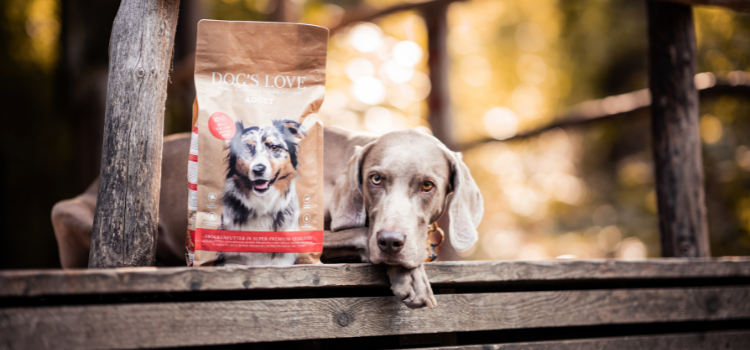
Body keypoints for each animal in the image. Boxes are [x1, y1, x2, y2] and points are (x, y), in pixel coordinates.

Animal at [54, 126, 488, 308]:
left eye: (428, 185)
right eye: (375, 179)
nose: (392, 242)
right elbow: (358, 232)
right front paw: (409, 277)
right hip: (67, 212)